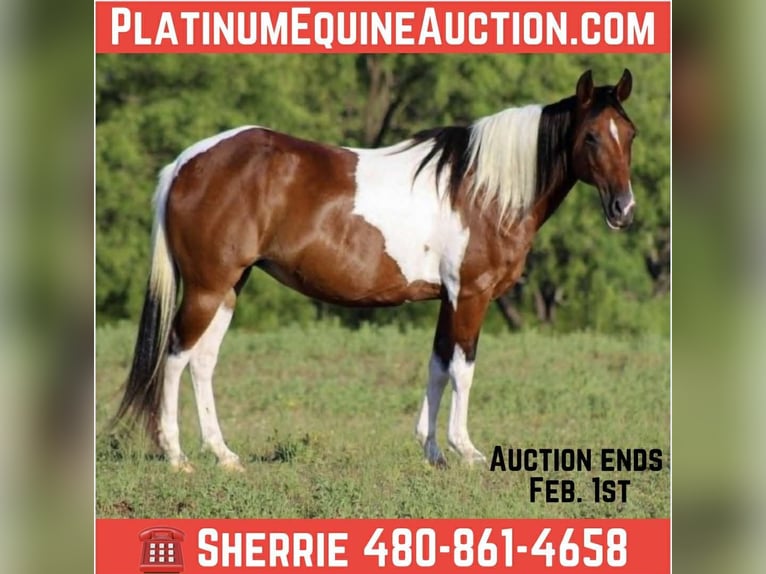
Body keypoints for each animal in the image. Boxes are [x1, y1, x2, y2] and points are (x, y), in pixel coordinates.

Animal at [113, 69, 637, 471]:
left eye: (628, 135)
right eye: (591, 136)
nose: (624, 209)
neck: (483, 190)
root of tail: (187, 163)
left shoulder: (447, 298)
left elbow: (437, 365)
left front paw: (432, 451)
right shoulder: (471, 294)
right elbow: (463, 368)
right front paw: (465, 450)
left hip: (228, 287)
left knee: (203, 361)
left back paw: (223, 455)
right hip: (208, 286)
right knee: (176, 356)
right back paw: (176, 456)